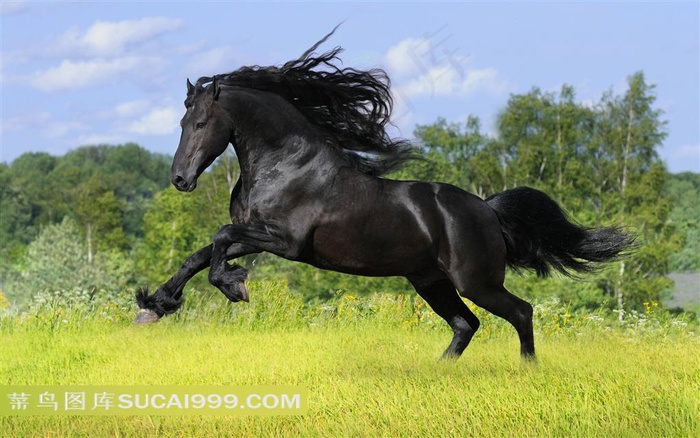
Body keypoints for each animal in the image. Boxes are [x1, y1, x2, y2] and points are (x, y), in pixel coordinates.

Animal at [134, 31, 632, 360]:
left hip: (476, 281)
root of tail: (488, 210)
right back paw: (439, 372)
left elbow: (218, 239)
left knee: (520, 312)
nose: (180, 179)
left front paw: (234, 286)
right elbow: (199, 255)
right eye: (182, 122)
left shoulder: (285, 242)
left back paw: (527, 370)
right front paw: (154, 306)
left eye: (201, 123)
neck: (287, 165)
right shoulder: (255, 233)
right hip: (431, 281)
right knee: (465, 324)